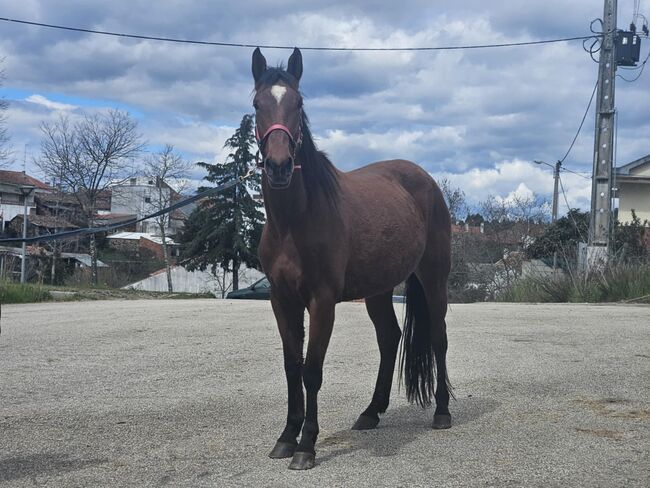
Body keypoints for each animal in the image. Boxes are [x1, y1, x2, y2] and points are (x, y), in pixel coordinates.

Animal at [252, 46, 450, 468]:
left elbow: (312, 371)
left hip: (434, 278)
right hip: (377, 290)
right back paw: (371, 412)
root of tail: (425, 180)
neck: (294, 221)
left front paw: (306, 445)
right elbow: (292, 367)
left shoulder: (322, 300)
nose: (279, 166)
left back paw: (442, 412)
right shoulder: (281, 299)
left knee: (438, 338)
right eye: (258, 103)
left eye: (298, 103)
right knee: (390, 339)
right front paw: (286, 437)